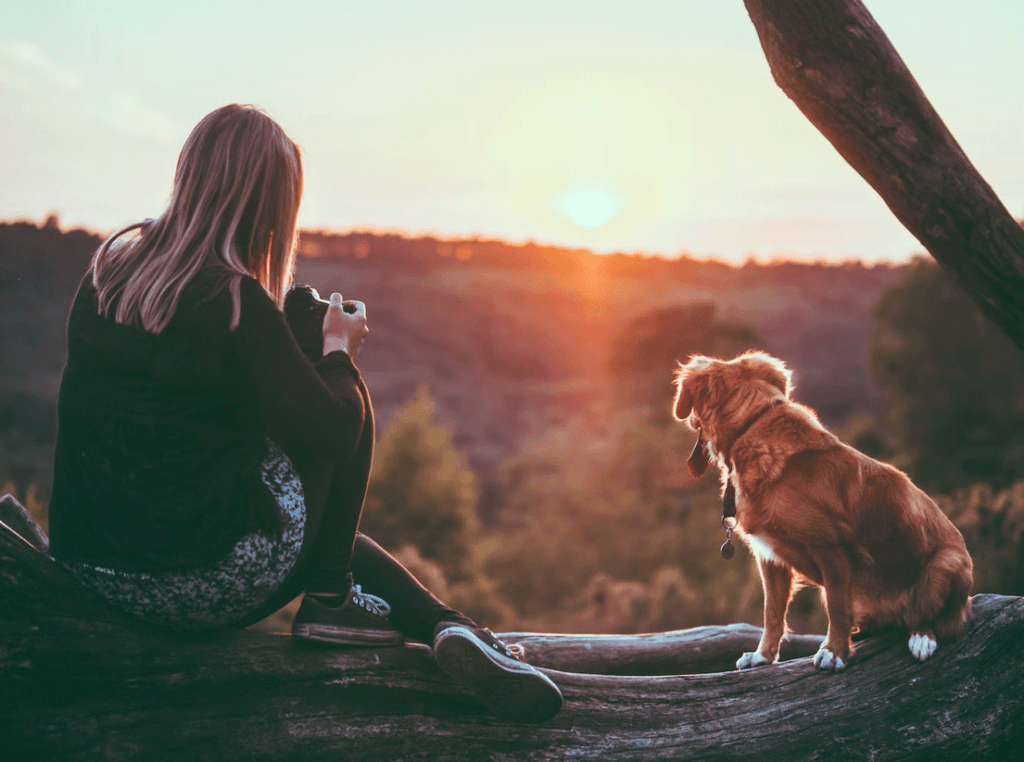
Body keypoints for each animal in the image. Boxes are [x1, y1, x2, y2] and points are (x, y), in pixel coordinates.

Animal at [675, 352, 970, 671]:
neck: (752, 427)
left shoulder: (832, 548)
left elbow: (837, 610)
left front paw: (834, 652)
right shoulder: (771, 558)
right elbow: (772, 614)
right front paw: (763, 656)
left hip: (946, 564)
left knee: (927, 617)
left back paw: (921, 639)